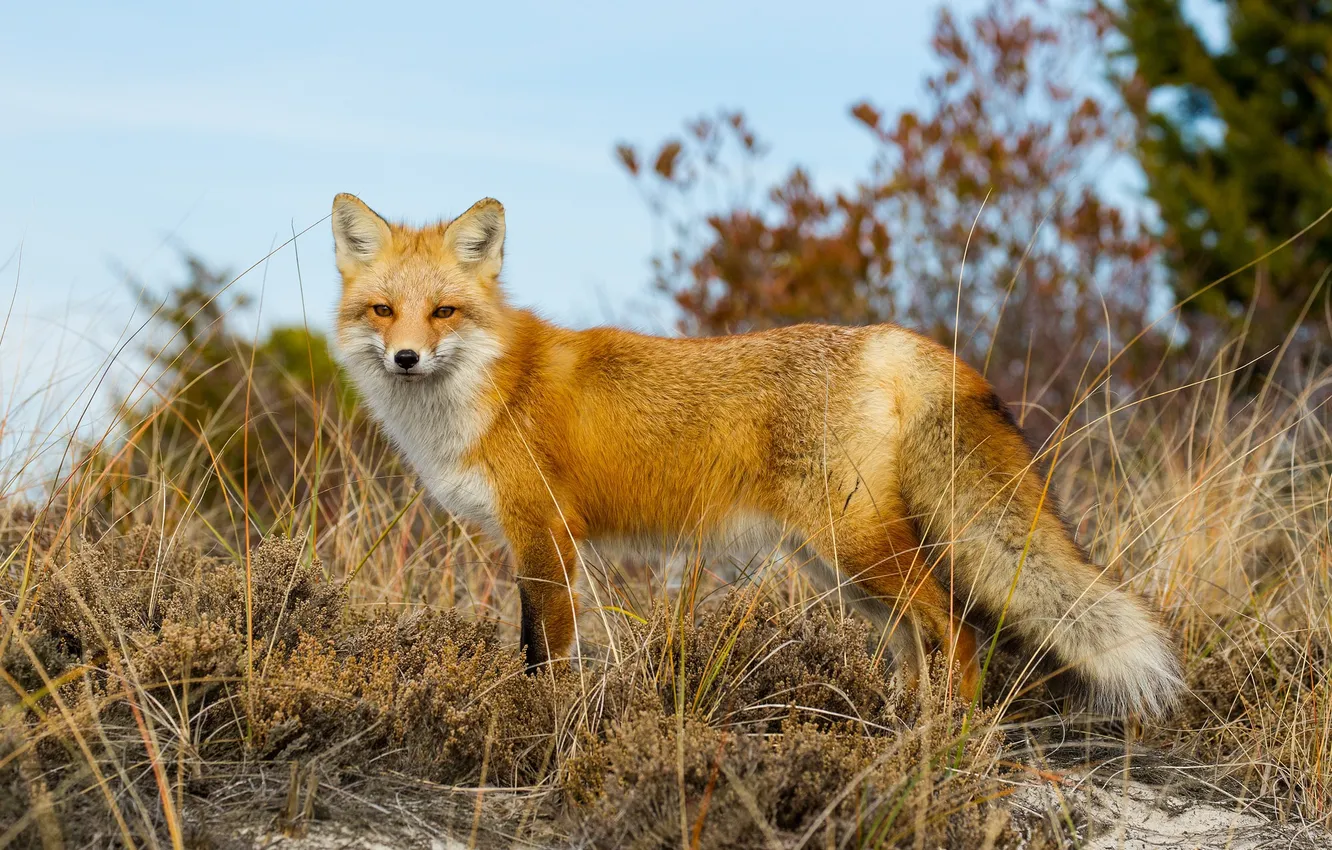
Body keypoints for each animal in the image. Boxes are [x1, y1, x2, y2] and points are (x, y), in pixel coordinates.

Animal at [330, 192, 1184, 717]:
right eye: (383, 310)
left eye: (444, 311)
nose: (406, 358)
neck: (494, 388)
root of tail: (886, 339)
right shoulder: (529, 544)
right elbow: (531, 644)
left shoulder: (546, 535)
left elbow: (549, 655)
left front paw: (545, 722)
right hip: (840, 570)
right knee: (916, 642)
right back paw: (901, 734)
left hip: (857, 548)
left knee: (959, 630)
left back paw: (947, 744)